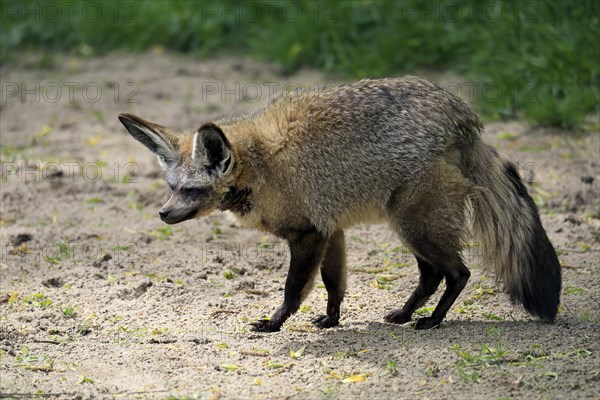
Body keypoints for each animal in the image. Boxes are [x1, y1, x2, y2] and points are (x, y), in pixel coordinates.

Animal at [118, 75, 564, 332]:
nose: (163, 213)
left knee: (458, 273)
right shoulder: (331, 230)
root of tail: (462, 116)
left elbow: (294, 289)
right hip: (415, 229)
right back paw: (404, 315)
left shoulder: (308, 235)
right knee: (432, 276)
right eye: (172, 187)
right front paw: (332, 320)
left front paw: (275, 323)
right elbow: (335, 283)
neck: (261, 168)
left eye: (191, 191)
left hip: (414, 226)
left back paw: (433, 321)